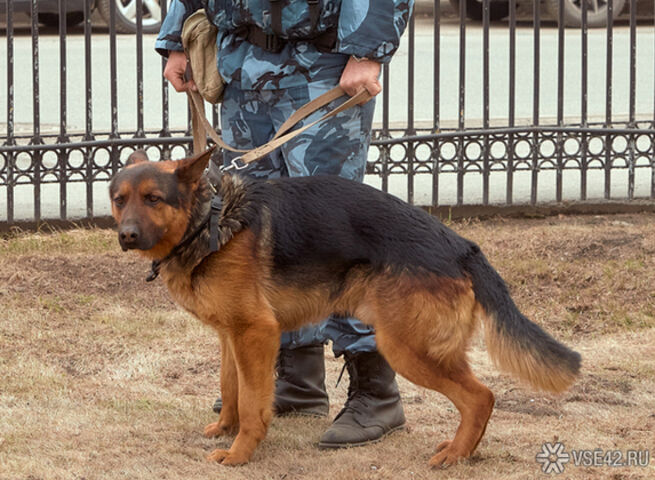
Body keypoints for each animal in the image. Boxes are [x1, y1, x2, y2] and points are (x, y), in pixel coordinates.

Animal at [109, 147, 581, 467]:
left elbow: (253, 402)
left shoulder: (256, 333)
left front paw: (240, 451)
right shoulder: (232, 335)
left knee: (480, 396)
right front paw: (224, 429)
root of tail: (462, 246)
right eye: (119, 199)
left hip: (406, 347)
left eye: (153, 199)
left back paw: (457, 455)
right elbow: (231, 389)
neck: (210, 217)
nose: (126, 236)